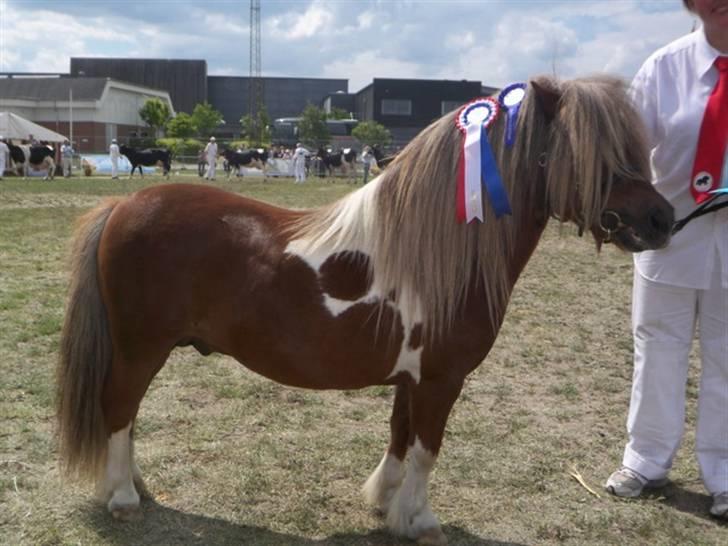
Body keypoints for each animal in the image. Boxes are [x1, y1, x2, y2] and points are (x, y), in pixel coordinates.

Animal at [58, 74, 676, 540]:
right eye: (594, 155)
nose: (661, 219)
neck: (441, 251)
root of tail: (122, 205)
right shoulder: (441, 380)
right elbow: (427, 448)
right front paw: (419, 520)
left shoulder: (413, 378)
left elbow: (400, 437)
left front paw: (385, 503)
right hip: (141, 348)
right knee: (118, 410)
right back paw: (122, 497)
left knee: (126, 416)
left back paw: (137, 487)